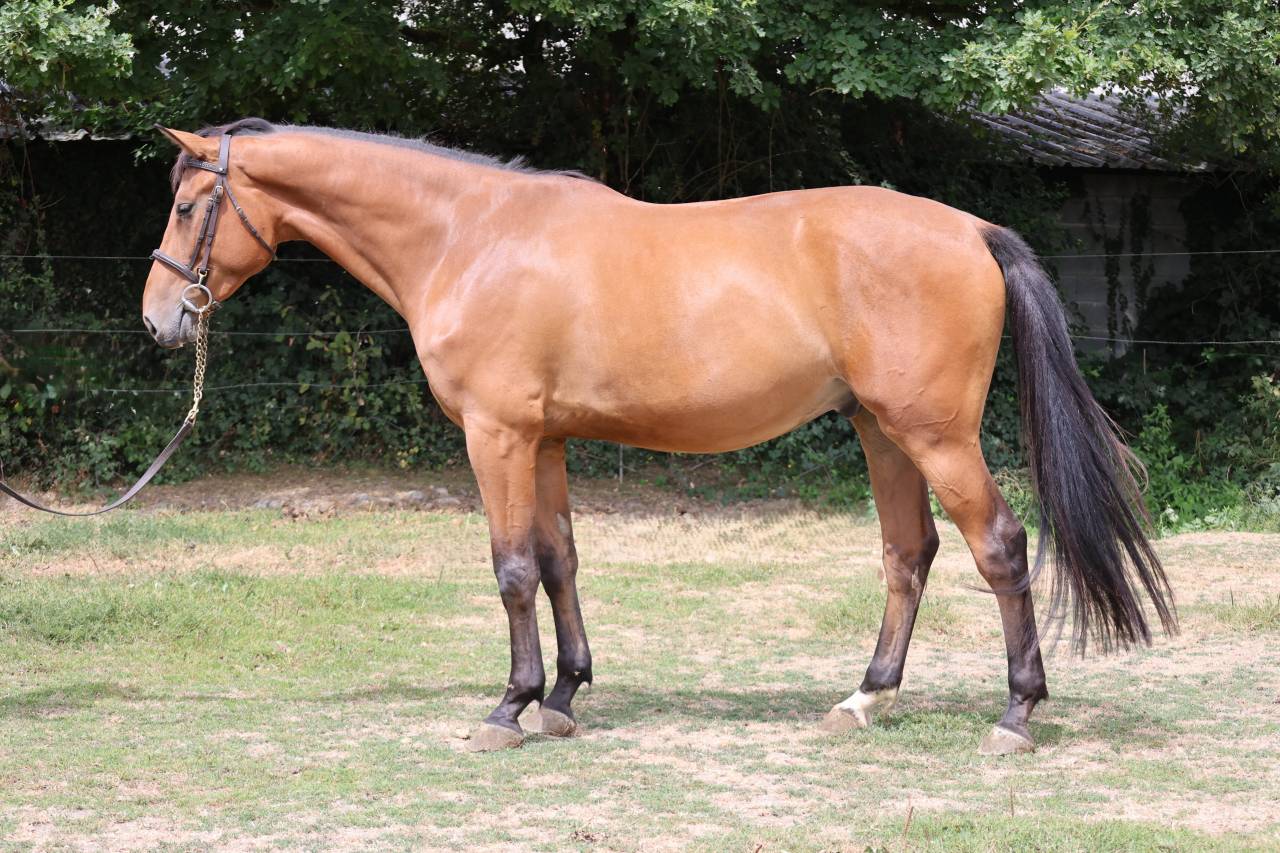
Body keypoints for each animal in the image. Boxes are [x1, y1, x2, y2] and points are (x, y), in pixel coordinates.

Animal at [143, 118, 1175, 754]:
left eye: (191, 207)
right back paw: (865, 697)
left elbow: (511, 567)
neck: (468, 236)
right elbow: (558, 559)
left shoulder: (497, 435)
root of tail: (970, 230)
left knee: (997, 544)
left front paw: (509, 707)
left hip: (934, 435)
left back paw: (1015, 713)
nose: (161, 319)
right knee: (907, 552)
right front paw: (563, 697)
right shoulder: (544, 441)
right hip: (881, 432)